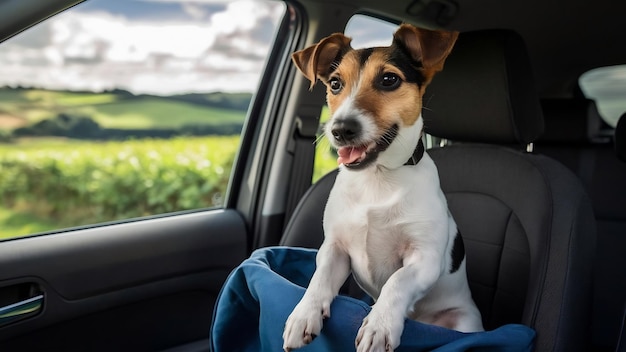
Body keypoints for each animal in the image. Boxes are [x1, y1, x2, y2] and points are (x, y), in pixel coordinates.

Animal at [282, 23, 482, 350]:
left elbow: (397, 282)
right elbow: (319, 278)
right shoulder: (334, 250)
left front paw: (380, 325)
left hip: (464, 321)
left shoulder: (425, 259)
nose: (340, 130)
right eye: (335, 83)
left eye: (389, 79)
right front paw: (303, 313)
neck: (376, 179)